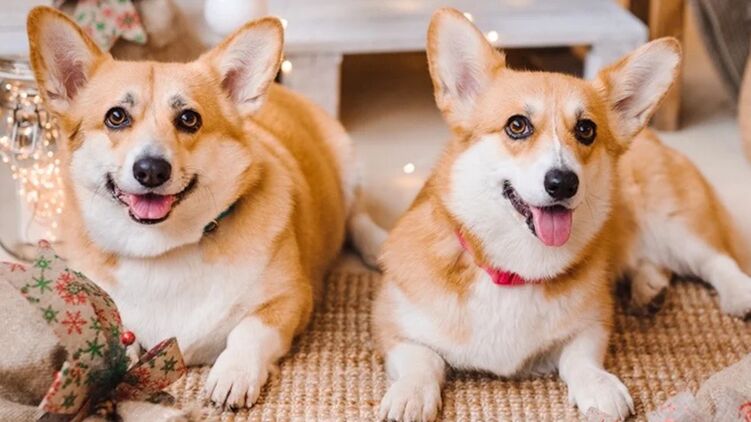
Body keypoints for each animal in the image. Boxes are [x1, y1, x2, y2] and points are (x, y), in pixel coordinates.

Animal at [27, 6, 385, 409]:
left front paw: (233, 373)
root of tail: (281, 90)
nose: (151, 170)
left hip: (347, 163)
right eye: (116, 117)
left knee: (357, 216)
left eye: (189, 119)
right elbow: (119, 337)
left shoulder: (291, 299)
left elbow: (249, 331)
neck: (164, 249)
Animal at [373, 8, 751, 421]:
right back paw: (648, 289)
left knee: (715, 258)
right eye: (517, 125)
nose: (563, 182)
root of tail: (653, 136)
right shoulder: (390, 324)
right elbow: (422, 358)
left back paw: (738, 293)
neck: (513, 272)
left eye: (586, 129)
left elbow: (579, 358)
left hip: (672, 222)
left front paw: (599, 386)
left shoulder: (594, 324)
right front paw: (410, 394)